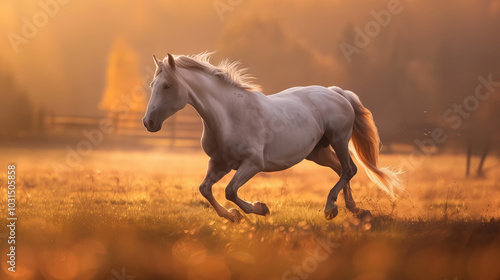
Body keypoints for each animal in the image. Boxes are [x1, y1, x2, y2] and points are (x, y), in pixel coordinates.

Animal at [143, 52, 400, 222]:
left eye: (167, 85)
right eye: (153, 84)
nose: (148, 122)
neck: (228, 116)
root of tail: (337, 92)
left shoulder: (253, 164)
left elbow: (230, 191)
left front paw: (261, 209)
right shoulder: (219, 164)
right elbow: (205, 189)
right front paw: (233, 216)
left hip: (339, 140)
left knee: (349, 169)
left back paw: (331, 208)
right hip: (318, 152)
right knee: (341, 169)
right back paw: (351, 209)